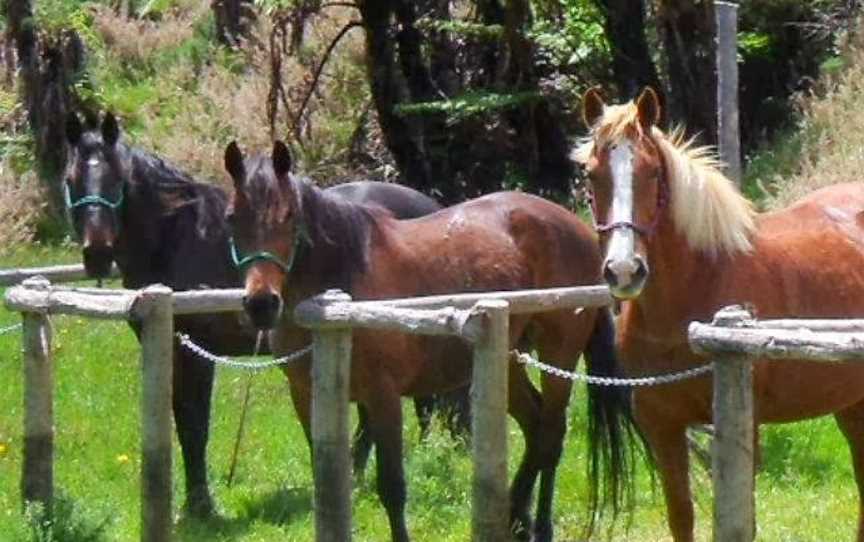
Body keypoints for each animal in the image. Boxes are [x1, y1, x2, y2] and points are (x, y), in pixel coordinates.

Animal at [60, 112, 460, 520]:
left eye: (117, 179)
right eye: (71, 180)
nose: (97, 252)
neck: (178, 239)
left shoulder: (196, 352)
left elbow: (194, 425)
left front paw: (201, 504)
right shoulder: (170, 347)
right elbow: (182, 418)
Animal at [224, 138, 640, 540]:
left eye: (289, 216)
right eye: (231, 217)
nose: (261, 304)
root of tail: (579, 228)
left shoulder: (383, 396)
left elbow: (392, 487)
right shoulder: (306, 397)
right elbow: (327, 479)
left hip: (558, 355)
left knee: (551, 435)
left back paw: (537, 525)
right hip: (506, 359)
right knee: (535, 427)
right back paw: (516, 519)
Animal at [572, 87, 864, 540]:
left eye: (652, 173)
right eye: (590, 174)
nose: (623, 270)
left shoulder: (738, 427)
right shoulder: (662, 425)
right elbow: (682, 515)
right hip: (850, 401)